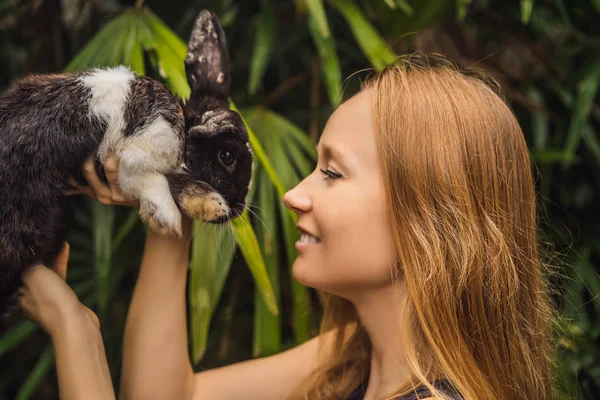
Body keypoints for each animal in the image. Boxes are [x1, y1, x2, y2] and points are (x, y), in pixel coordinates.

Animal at [0, 9, 252, 318]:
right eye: (227, 157)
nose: (237, 210)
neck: (184, 129)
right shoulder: (136, 152)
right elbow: (159, 179)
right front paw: (178, 214)